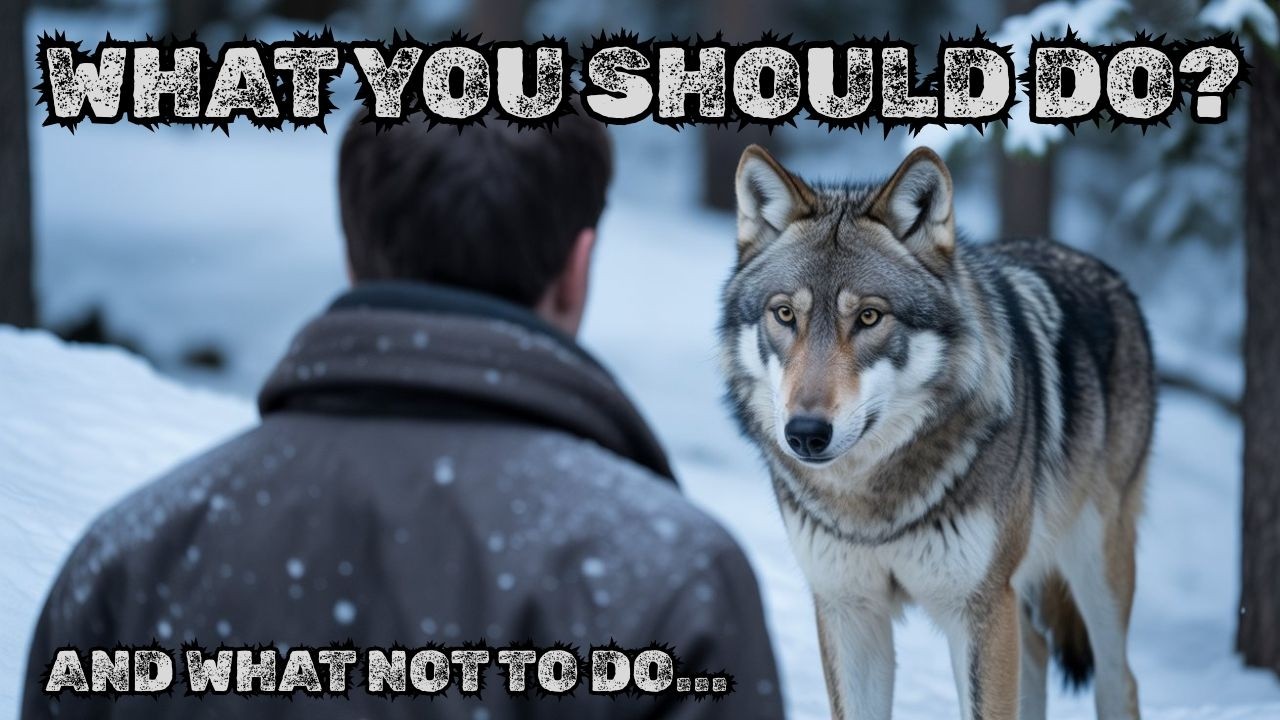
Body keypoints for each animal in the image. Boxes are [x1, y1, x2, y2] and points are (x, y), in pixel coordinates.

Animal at [718, 145, 1156, 720]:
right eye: (785, 314)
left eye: (869, 317)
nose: (806, 433)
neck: (869, 503)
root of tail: (1097, 265)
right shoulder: (848, 609)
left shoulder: (979, 608)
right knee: (1039, 654)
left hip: (1093, 565)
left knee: (1119, 679)